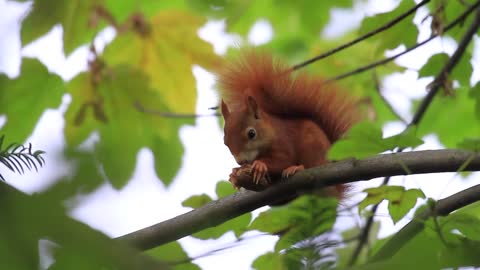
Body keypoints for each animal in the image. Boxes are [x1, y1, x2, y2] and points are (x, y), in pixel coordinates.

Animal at [218, 50, 360, 194]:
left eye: (251, 134)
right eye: (224, 142)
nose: (241, 161)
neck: (272, 131)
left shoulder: (284, 141)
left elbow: (283, 160)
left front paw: (259, 164)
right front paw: (234, 173)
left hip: (313, 148)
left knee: (312, 164)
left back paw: (296, 168)